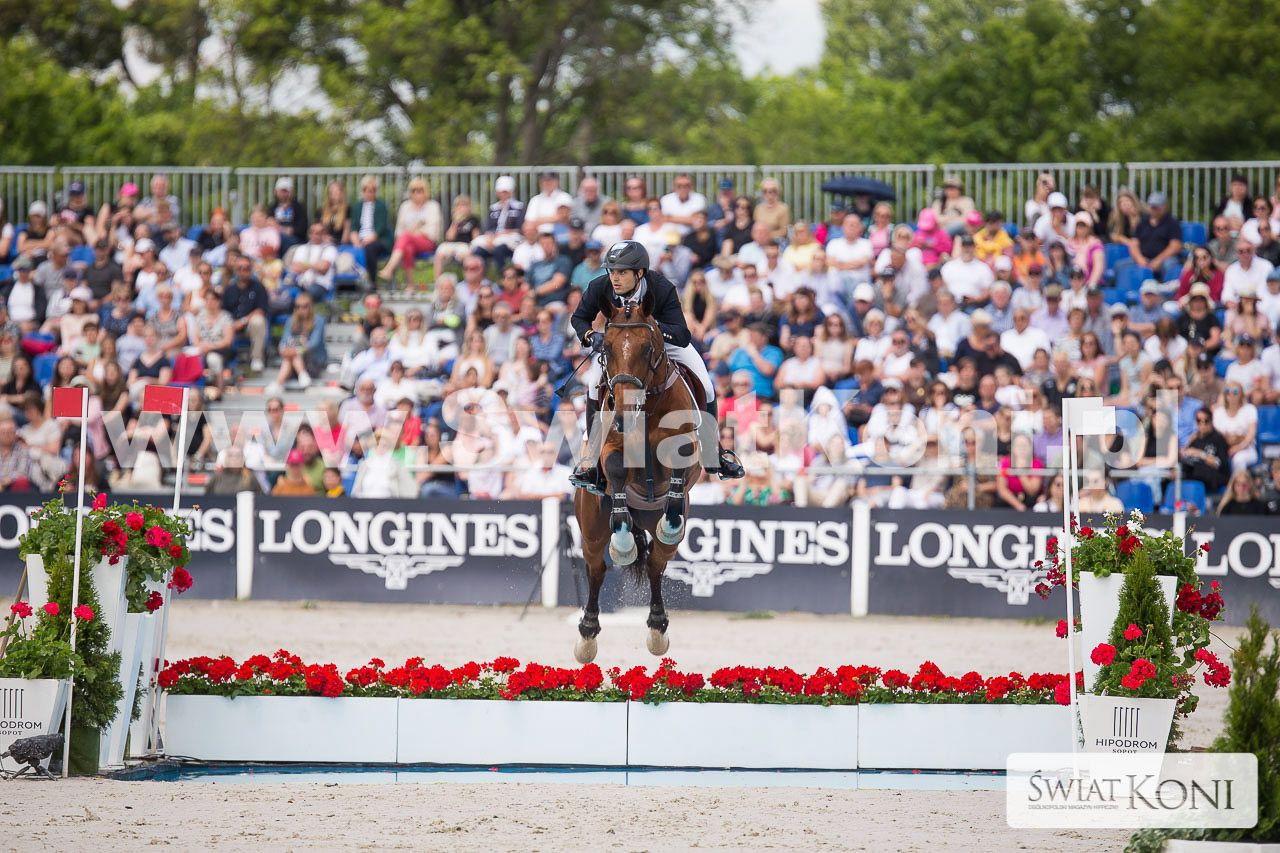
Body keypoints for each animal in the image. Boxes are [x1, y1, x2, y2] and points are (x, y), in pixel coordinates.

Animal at [572, 290, 707, 664]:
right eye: (606, 349)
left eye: (647, 349)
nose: (623, 413)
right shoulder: (611, 448)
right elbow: (616, 469)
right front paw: (622, 543)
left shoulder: (686, 451)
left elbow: (677, 471)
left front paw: (669, 523)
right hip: (591, 527)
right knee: (596, 569)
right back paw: (587, 634)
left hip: (659, 530)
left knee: (656, 564)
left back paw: (657, 629)